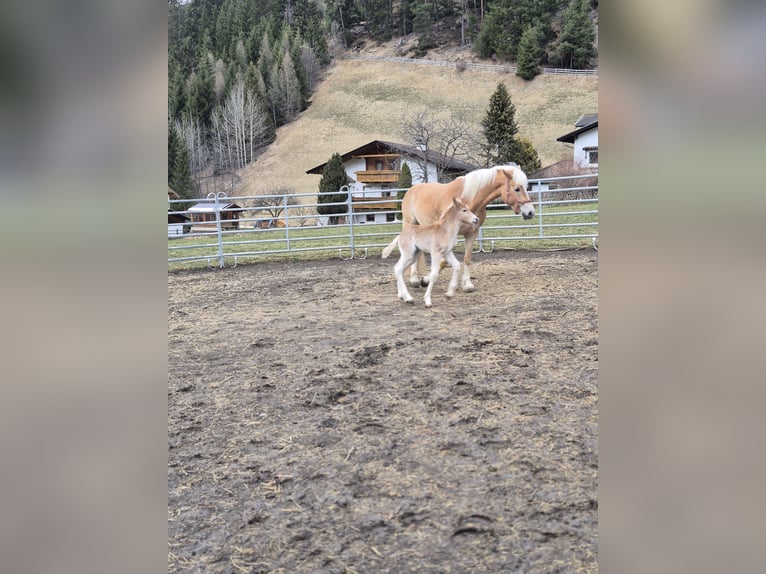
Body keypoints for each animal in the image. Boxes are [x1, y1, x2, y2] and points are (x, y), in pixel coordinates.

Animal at [400, 164, 535, 292]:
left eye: (527, 187)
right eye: (517, 189)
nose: (530, 212)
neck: (468, 199)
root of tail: (412, 189)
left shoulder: (472, 234)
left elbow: (467, 258)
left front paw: (467, 284)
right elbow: (444, 261)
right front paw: (426, 280)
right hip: (410, 224)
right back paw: (414, 280)